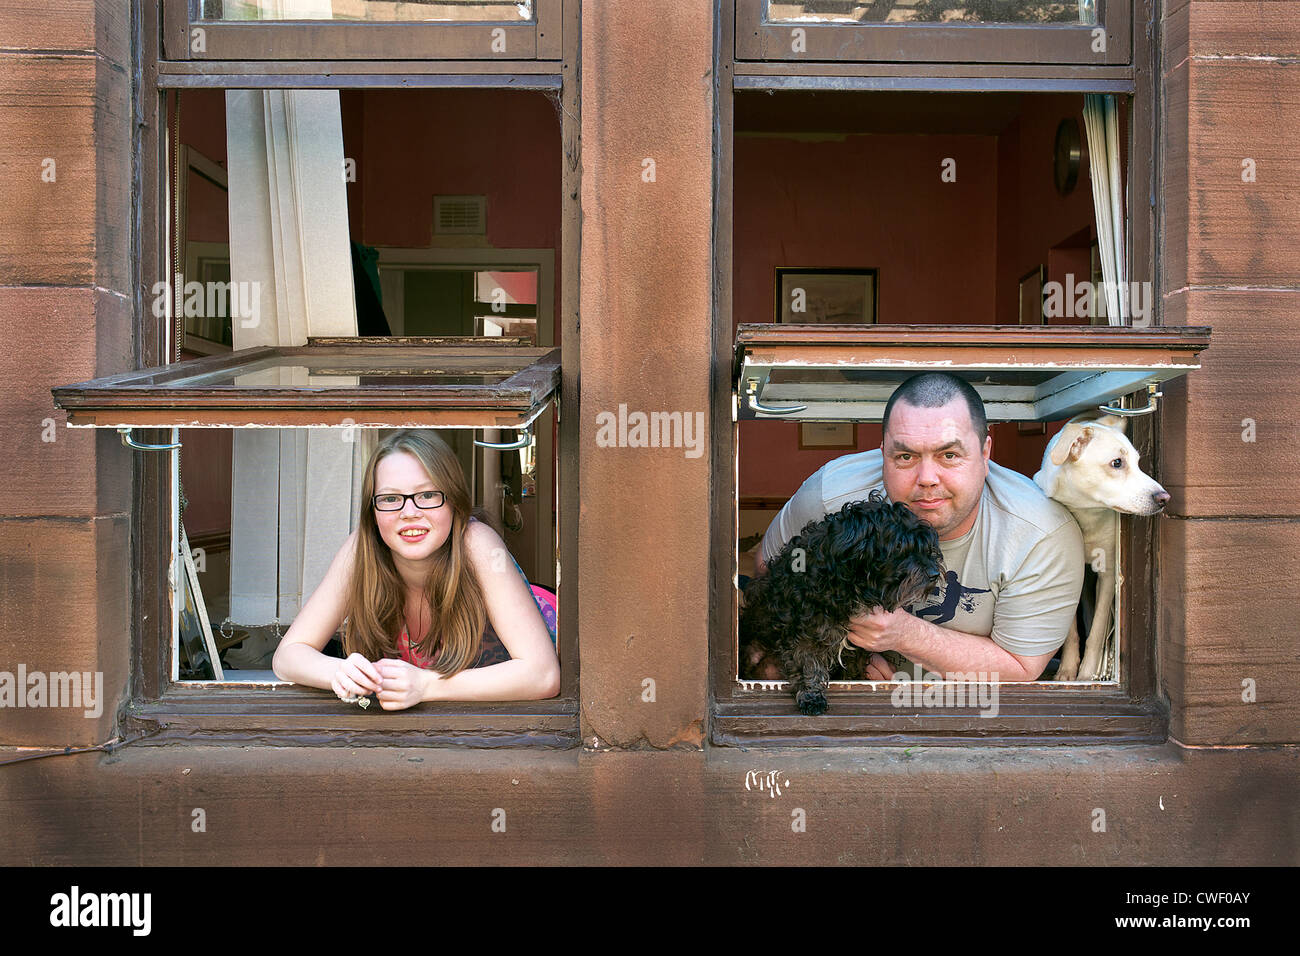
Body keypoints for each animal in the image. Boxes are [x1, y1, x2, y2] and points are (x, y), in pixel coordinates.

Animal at [743, 496, 946, 712]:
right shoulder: (803, 633)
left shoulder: (856, 649)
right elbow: (807, 664)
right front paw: (811, 697)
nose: (934, 573)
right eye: (899, 546)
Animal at [1034, 416, 1170, 686]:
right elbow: (1071, 632)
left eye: (1138, 462)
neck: (1085, 513)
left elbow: (1096, 631)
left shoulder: (1108, 575)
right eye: (1117, 463)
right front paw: (1067, 670)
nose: (1164, 498)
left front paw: (1087, 674)